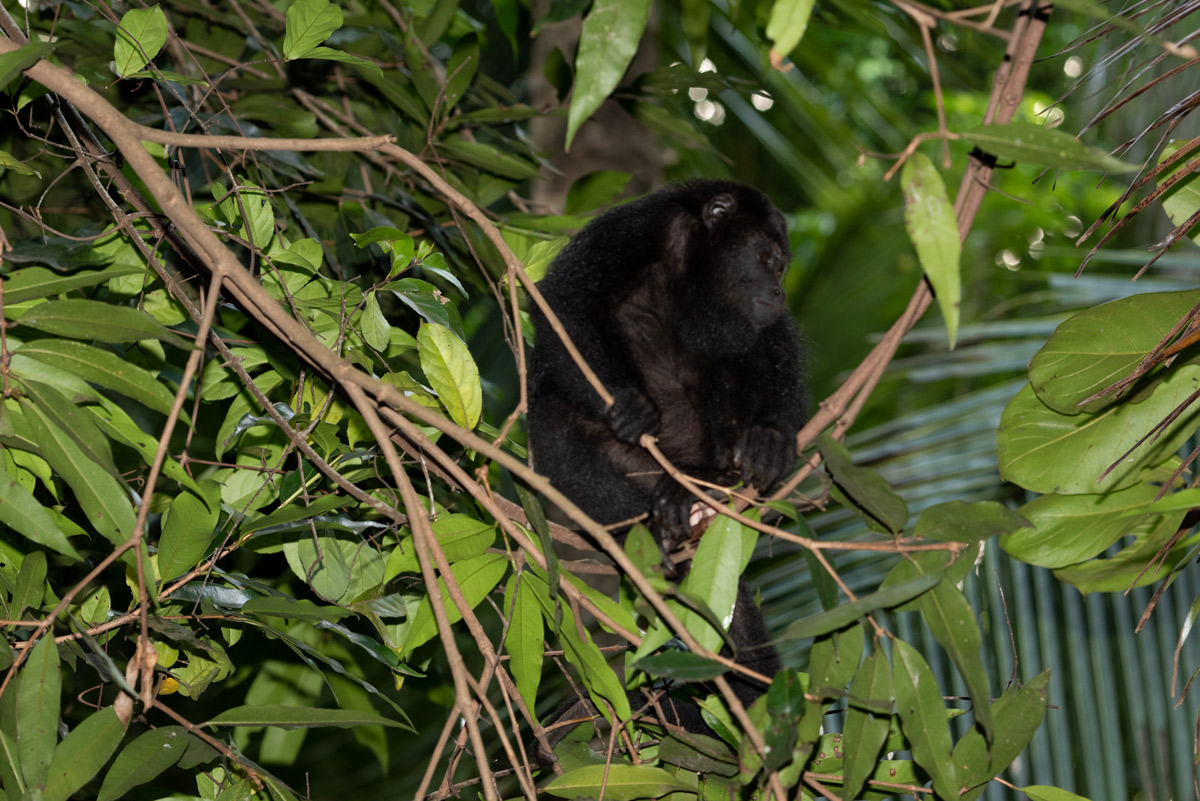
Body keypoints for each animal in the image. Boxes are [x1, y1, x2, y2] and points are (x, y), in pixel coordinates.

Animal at [528, 179, 801, 753]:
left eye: (782, 267)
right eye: (765, 258)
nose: (779, 290)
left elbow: (772, 347)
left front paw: (771, 440)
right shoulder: (638, 226)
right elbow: (567, 300)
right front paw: (630, 402)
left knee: (733, 362)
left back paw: (711, 483)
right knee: (555, 420)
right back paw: (656, 529)